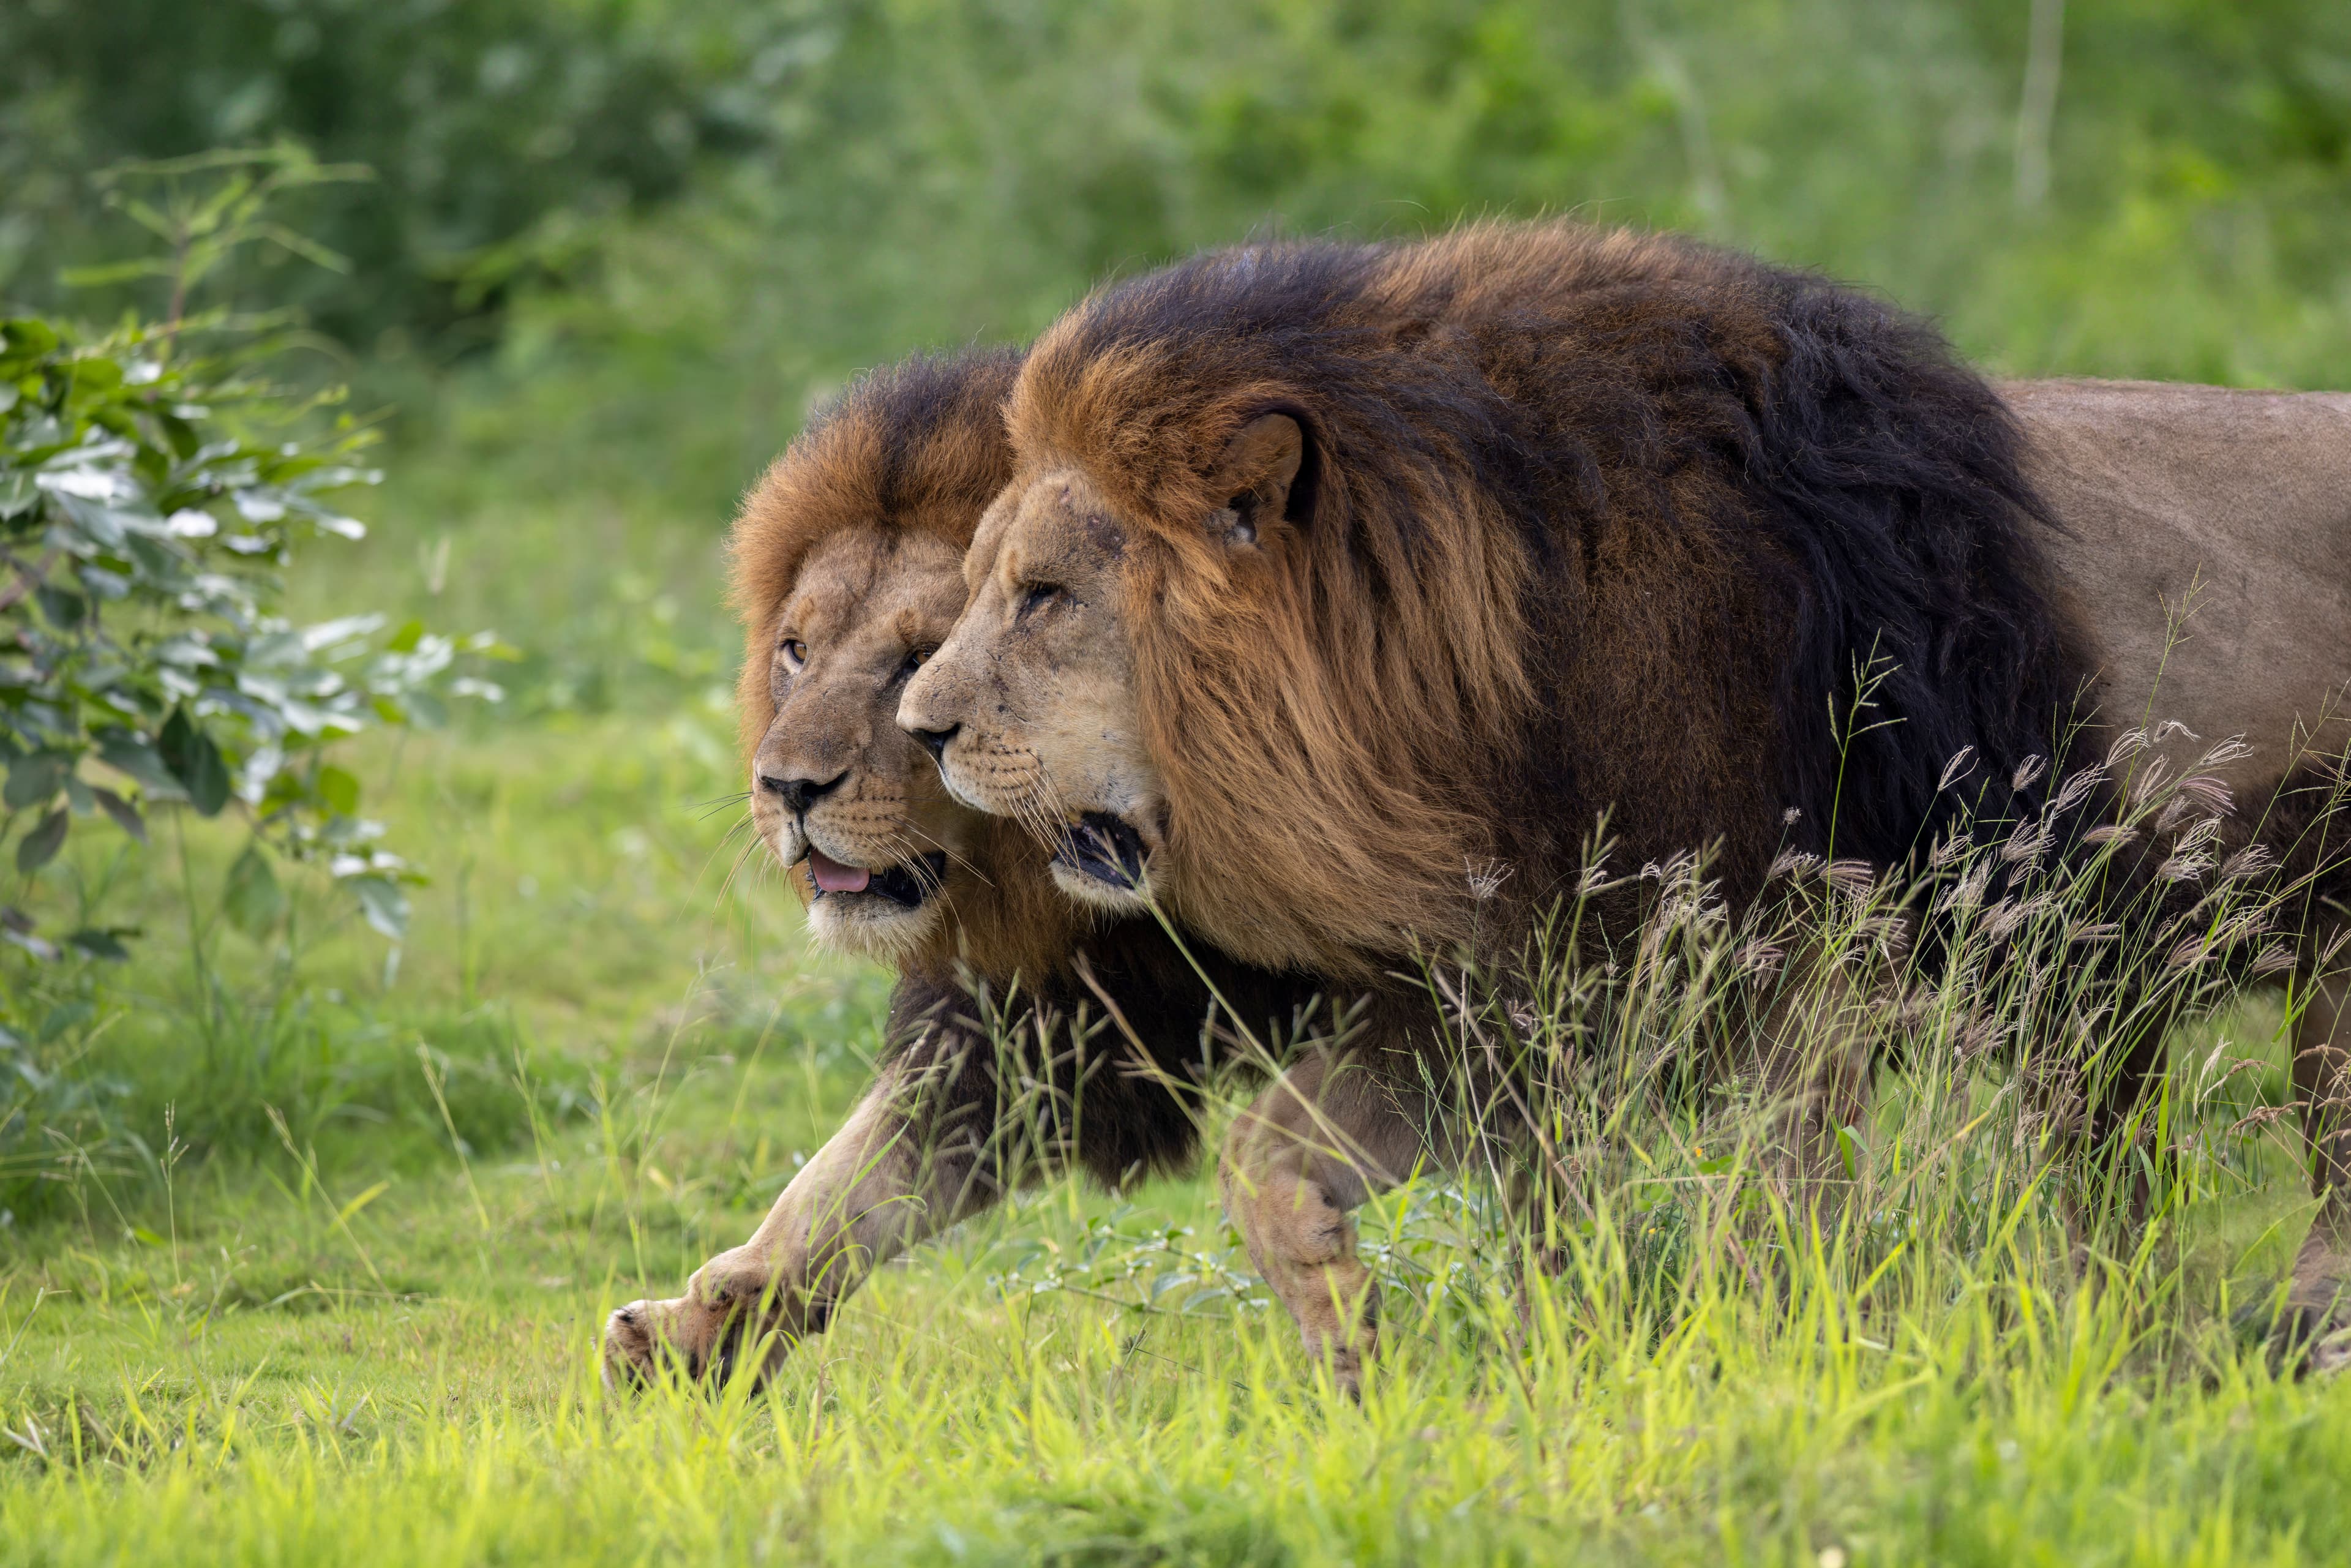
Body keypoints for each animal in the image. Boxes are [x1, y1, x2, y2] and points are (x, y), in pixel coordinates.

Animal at [602, 349, 1316, 1391]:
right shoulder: (1056, 1009)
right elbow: (858, 1168)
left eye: (920, 659)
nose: (785, 788)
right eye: (796, 651)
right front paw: (706, 1328)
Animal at [899, 221, 2351, 1390]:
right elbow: (1273, 1159)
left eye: (1045, 597)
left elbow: (1776, 1217)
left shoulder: (1798, 975)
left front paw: (1781, 1374)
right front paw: (1353, 1353)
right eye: (982, 586)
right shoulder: (1512, 999)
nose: (919, 729)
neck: (1471, 690)